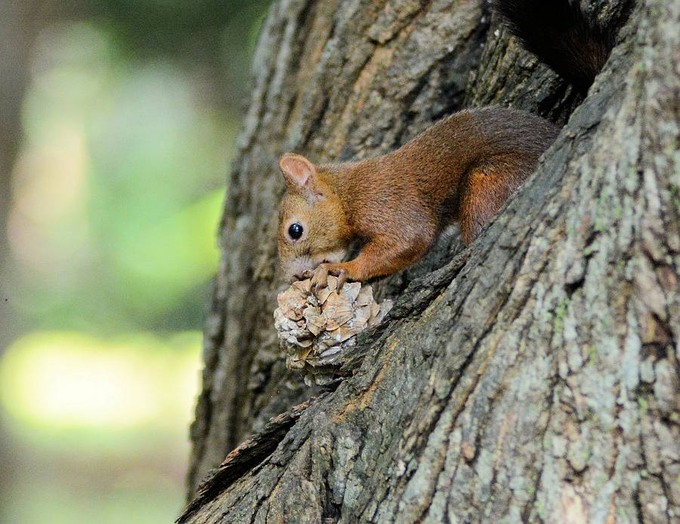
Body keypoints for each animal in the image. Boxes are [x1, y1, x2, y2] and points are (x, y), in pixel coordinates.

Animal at [276, 0, 620, 284]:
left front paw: (344, 268)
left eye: (295, 230)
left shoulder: (387, 203)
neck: (349, 193)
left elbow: (409, 239)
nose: (293, 277)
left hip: (489, 180)